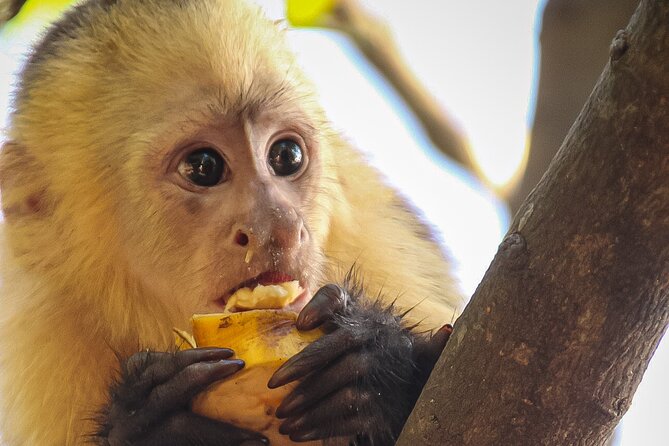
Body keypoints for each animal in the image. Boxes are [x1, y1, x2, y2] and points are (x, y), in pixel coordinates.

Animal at [0, 0, 460, 446]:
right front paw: (148, 422)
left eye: (286, 156)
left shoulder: (380, 238)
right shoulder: (38, 338)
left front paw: (374, 361)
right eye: (203, 166)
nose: (279, 225)